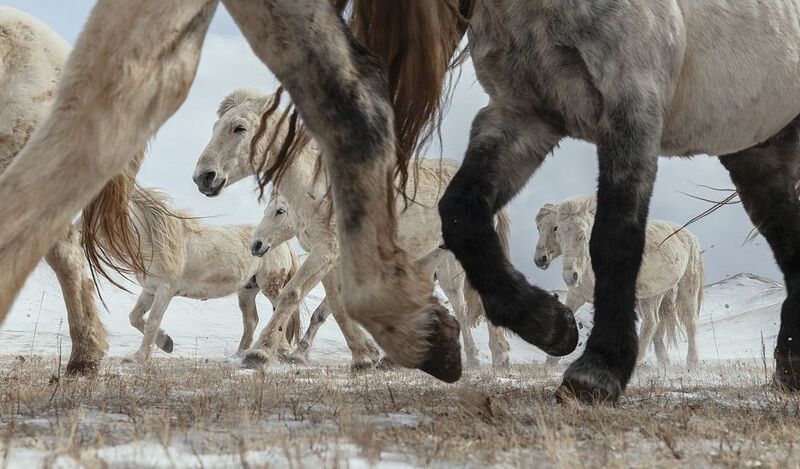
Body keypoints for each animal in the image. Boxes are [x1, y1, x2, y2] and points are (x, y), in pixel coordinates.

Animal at [84, 185, 302, 362]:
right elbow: (135, 317)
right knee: (251, 321)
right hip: (247, 290)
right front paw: (166, 343)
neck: (156, 241)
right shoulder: (150, 290)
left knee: (284, 311)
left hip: (270, 286)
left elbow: (152, 322)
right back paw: (239, 355)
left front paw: (138, 357)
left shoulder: (164, 291)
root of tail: (283, 244)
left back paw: (279, 351)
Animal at [251, 190, 512, 369]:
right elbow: (326, 311)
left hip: (451, 271)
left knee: (462, 307)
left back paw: (489, 357)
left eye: (280, 211)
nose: (256, 245)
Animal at [535, 196, 702, 369]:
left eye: (582, 235)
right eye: (558, 232)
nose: (540, 259)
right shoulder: (576, 296)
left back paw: (692, 364)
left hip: (688, 285)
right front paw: (550, 364)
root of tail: (689, 234)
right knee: (652, 323)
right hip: (653, 293)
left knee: (690, 321)